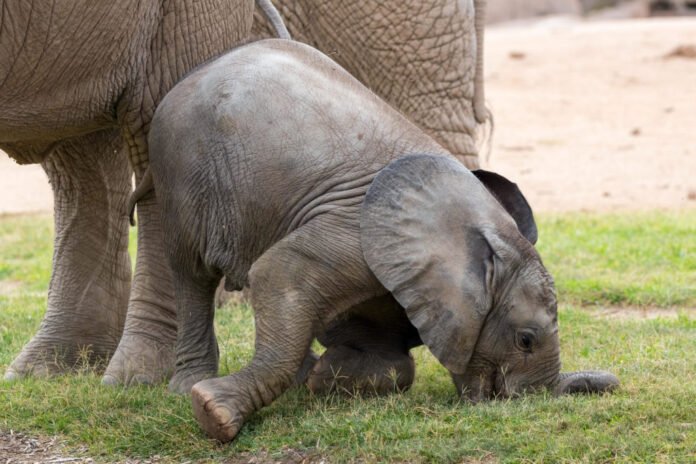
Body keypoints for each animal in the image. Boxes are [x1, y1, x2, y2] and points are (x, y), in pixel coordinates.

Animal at [133, 39, 618, 442]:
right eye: (526, 340)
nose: (609, 385)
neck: (480, 229)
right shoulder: (353, 236)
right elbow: (277, 273)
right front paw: (213, 412)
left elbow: (391, 358)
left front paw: (325, 379)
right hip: (182, 164)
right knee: (191, 274)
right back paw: (186, 387)